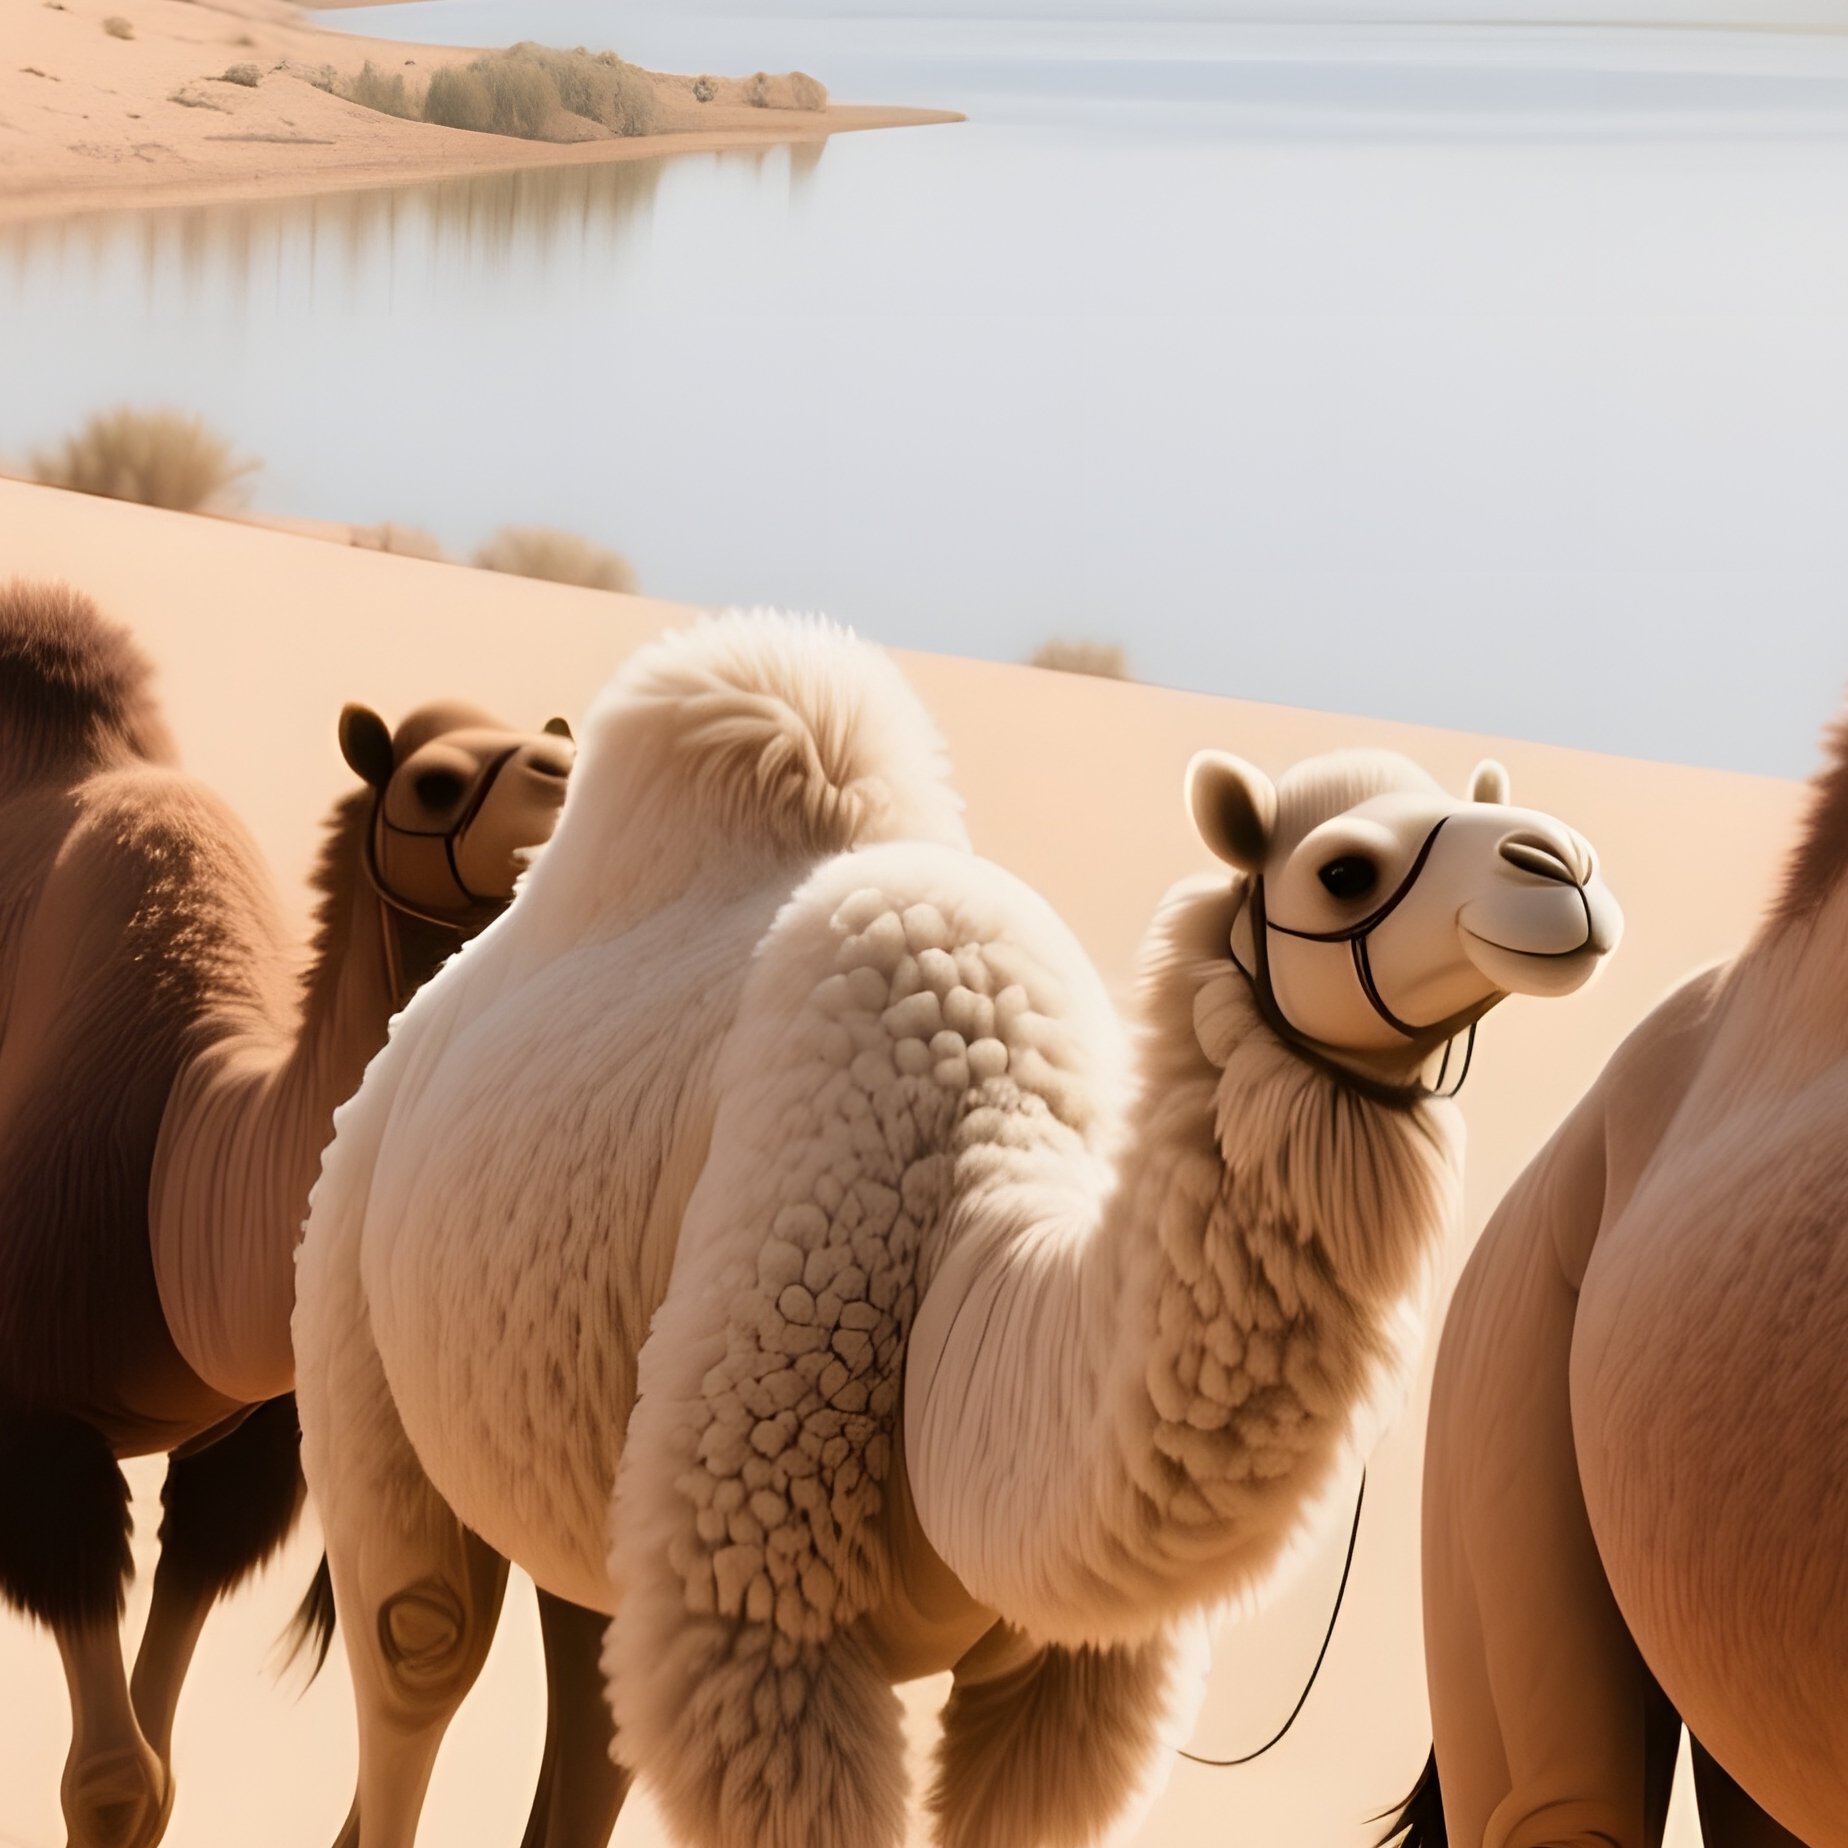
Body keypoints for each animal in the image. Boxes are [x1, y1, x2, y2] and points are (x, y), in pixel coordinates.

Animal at [0, 580, 574, 1848]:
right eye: (433, 782)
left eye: (564, 747)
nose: (566, 795)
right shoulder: (39, 1421)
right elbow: (110, 1778)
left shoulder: (248, 1447)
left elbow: (154, 1773)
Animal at [291, 610, 1622, 1848]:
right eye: (1344, 869)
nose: (1562, 865)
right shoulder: (763, 1616)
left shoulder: (1067, 1679)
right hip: (351, 1299)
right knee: (418, 1648)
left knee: (588, 1696)